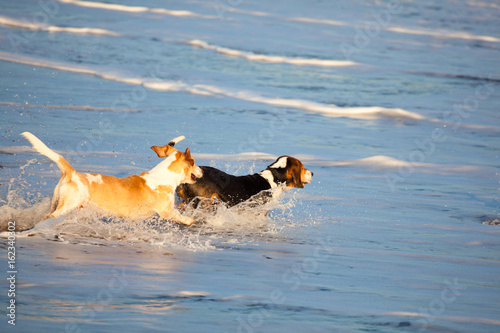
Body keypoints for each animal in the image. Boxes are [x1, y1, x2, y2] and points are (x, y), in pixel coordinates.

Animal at [21, 131, 201, 224]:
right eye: (194, 162)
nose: (202, 171)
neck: (164, 177)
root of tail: (72, 172)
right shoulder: (168, 212)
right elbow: (185, 218)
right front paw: (192, 220)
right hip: (66, 206)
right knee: (49, 217)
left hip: (56, 202)